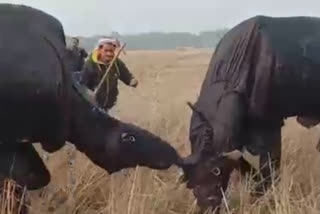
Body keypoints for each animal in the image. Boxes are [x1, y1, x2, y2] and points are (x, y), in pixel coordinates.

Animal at [180, 15, 320, 212]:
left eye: (215, 170)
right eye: (191, 180)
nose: (208, 205)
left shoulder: (269, 127)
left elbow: (269, 171)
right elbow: (249, 170)